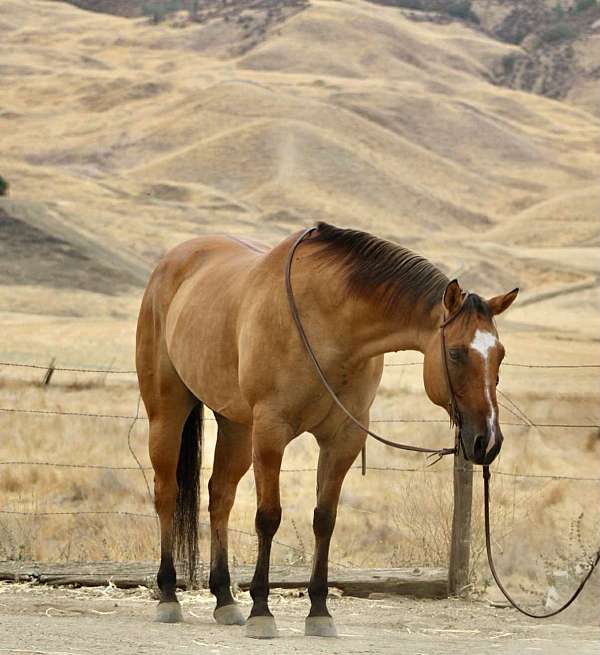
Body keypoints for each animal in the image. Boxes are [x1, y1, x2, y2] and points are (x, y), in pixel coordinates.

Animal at [135, 222, 518, 638]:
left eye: (500, 355)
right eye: (456, 353)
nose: (487, 441)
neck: (328, 325)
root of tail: (170, 264)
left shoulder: (343, 439)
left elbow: (325, 519)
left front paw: (318, 611)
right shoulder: (270, 431)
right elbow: (269, 517)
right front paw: (261, 611)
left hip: (235, 426)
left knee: (220, 497)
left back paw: (224, 599)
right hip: (168, 413)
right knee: (167, 494)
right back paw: (168, 596)